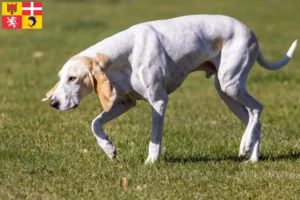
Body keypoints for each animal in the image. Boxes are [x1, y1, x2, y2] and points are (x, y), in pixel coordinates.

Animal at [42, 14, 298, 163]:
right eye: (61, 78)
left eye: (73, 78)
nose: (53, 103)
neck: (124, 55)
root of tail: (250, 30)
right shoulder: (125, 103)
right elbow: (95, 123)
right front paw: (109, 149)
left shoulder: (158, 102)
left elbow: (154, 139)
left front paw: (151, 163)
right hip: (226, 93)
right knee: (255, 120)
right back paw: (252, 157)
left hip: (231, 84)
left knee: (258, 109)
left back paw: (245, 146)